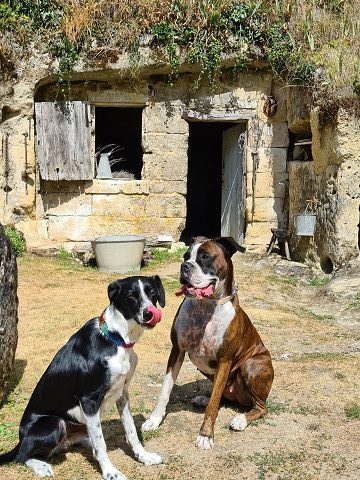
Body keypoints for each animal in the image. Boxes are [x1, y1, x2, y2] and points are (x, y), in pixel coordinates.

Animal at [0, 276, 166, 478]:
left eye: (152, 293)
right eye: (131, 296)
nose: (149, 313)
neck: (116, 339)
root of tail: (20, 438)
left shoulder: (122, 393)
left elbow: (131, 431)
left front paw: (144, 457)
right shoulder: (89, 400)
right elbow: (101, 444)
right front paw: (110, 472)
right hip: (55, 423)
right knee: (21, 456)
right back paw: (41, 466)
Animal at [142, 236, 274, 450]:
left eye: (205, 257)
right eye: (186, 256)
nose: (185, 266)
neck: (206, 306)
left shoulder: (225, 361)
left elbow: (213, 406)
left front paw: (205, 435)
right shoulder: (177, 351)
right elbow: (165, 390)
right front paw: (154, 420)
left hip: (251, 364)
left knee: (260, 406)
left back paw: (241, 419)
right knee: (220, 396)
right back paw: (205, 398)